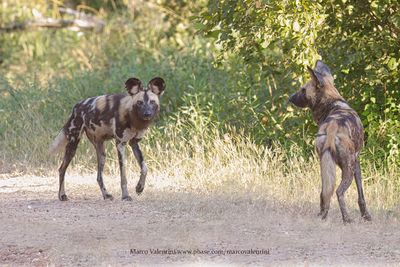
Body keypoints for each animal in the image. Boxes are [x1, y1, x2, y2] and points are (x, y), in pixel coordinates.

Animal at [288, 61, 372, 224]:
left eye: (303, 90)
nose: (290, 98)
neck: (334, 103)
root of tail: (333, 126)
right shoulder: (357, 163)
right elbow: (361, 196)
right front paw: (366, 216)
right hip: (349, 169)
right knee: (339, 192)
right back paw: (347, 219)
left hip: (325, 164)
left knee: (324, 193)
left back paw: (323, 216)